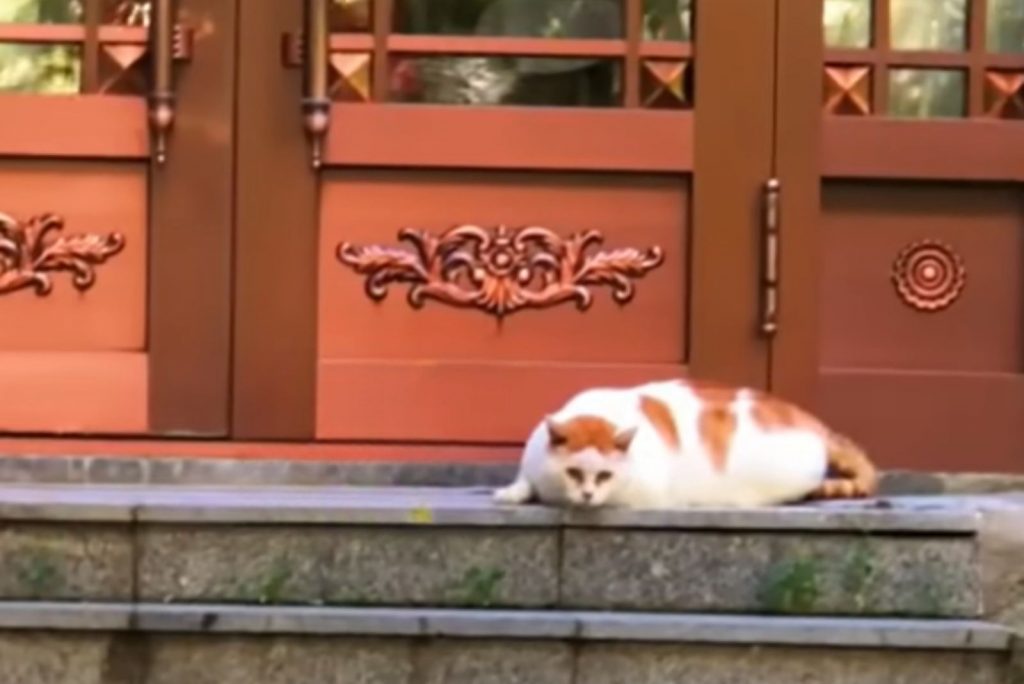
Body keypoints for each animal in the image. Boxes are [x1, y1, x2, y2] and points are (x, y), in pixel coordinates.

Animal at [491, 378, 876, 507]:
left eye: (603, 476)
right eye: (573, 472)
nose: (586, 495)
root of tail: (813, 421)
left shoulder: (645, 492)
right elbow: (526, 479)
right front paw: (513, 492)